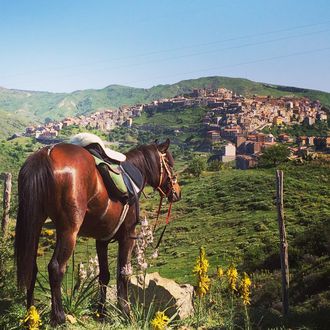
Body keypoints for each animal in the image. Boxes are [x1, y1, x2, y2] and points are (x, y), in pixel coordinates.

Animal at [14, 139, 180, 324]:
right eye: (170, 164)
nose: (177, 192)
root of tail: (46, 154)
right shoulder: (128, 236)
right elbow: (123, 274)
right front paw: (126, 312)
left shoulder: (102, 240)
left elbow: (104, 275)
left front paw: (101, 312)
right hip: (68, 230)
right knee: (56, 267)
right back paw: (59, 317)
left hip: (35, 222)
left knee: (31, 267)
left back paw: (31, 315)